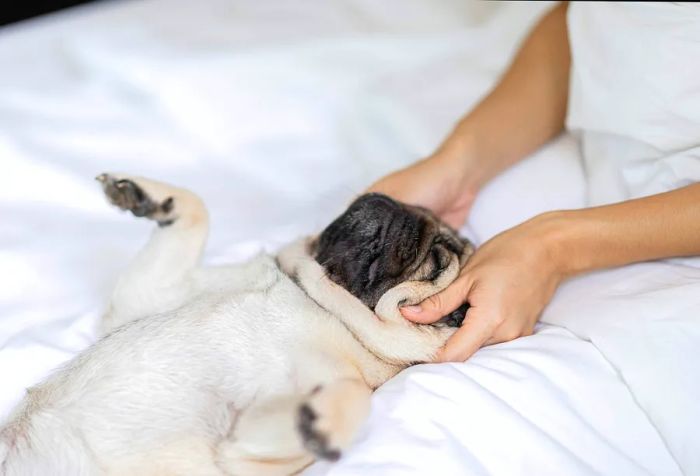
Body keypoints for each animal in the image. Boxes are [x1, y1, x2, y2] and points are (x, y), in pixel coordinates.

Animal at [1, 175, 470, 476]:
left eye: (438, 260)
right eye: (415, 208)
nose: (397, 206)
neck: (319, 300)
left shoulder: (247, 464)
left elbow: (355, 394)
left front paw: (321, 423)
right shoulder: (152, 292)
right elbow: (196, 212)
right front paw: (153, 197)